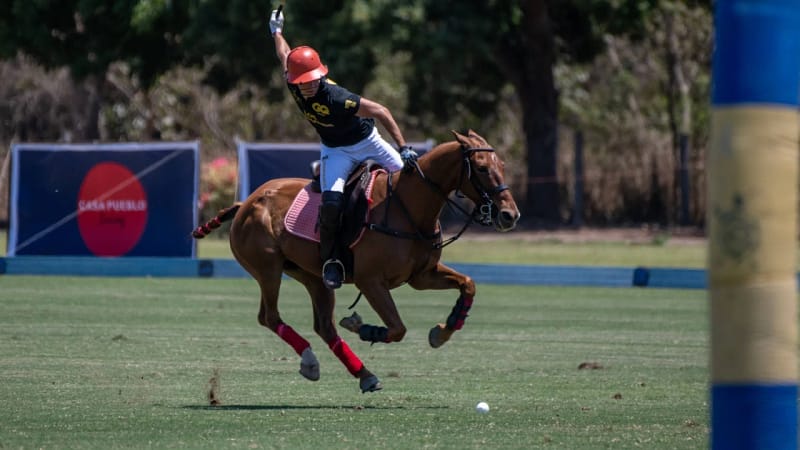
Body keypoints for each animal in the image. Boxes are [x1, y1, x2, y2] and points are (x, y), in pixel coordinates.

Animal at [193, 128, 520, 392]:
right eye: (481, 168)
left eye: (502, 165)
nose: (509, 215)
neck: (409, 208)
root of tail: (245, 202)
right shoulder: (371, 280)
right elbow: (397, 328)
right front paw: (361, 326)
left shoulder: (421, 275)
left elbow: (468, 283)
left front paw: (442, 331)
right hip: (268, 269)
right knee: (270, 317)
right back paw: (313, 361)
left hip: (313, 275)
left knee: (323, 325)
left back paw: (363, 374)